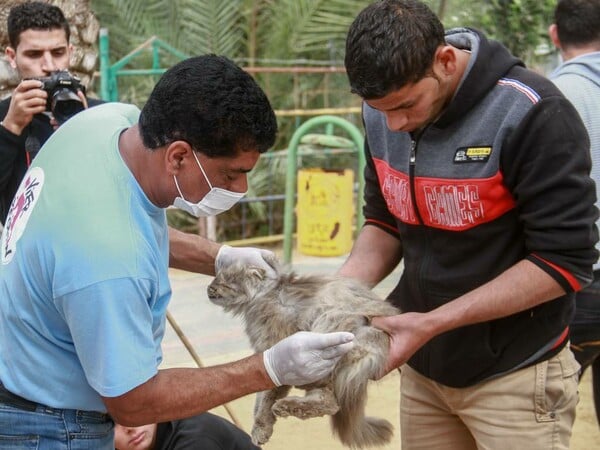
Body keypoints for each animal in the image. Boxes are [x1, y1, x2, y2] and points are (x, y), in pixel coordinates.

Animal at [206, 262, 398, 448]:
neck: (261, 299)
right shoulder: (266, 353)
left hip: (331, 324)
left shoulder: (276, 344)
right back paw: (288, 406)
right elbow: (261, 394)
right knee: (330, 403)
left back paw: (284, 405)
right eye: (215, 279)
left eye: (224, 282)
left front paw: (261, 427)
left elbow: (267, 397)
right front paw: (258, 421)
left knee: (330, 402)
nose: (210, 288)